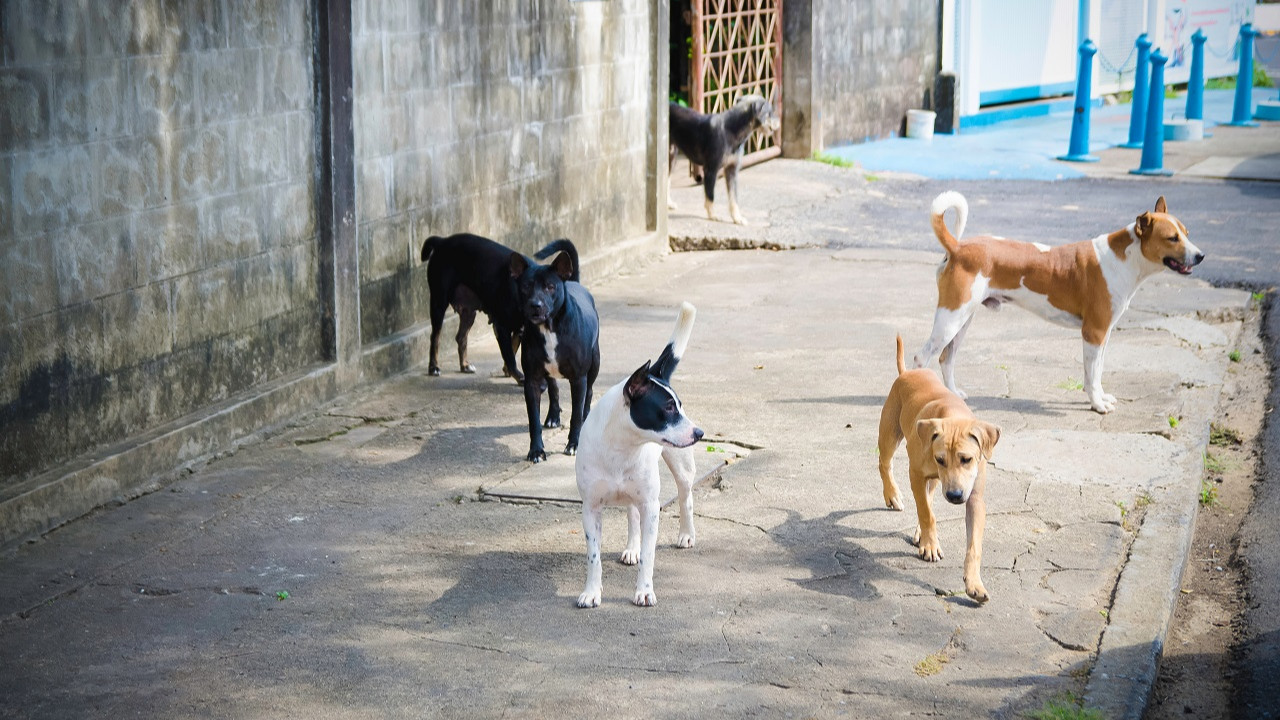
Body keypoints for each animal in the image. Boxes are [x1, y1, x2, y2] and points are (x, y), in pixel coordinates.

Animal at [509, 238, 599, 461]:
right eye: (526, 286)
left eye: (550, 287)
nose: (535, 305)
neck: (549, 328)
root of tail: (573, 281)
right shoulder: (532, 380)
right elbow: (533, 419)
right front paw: (536, 451)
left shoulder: (579, 379)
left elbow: (576, 415)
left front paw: (574, 444)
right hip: (548, 372)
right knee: (554, 388)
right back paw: (553, 416)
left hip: (594, 364)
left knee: (589, 393)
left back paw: (586, 416)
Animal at [576, 298, 706, 604]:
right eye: (668, 408)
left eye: (680, 406)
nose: (699, 433)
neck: (622, 447)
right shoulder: (591, 508)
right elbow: (593, 557)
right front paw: (592, 591)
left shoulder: (651, 507)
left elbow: (650, 554)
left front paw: (644, 590)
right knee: (632, 514)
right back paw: (632, 547)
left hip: (681, 469)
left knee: (686, 498)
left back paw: (686, 534)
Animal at [670, 94, 778, 224]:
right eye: (770, 112)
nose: (778, 122)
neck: (732, 129)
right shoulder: (711, 170)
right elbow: (710, 195)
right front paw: (713, 216)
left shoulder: (732, 170)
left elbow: (733, 198)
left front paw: (737, 218)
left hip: (671, 158)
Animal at [875, 335, 1003, 599]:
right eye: (940, 459)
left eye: (967, 459)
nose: (954, 495)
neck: (952, 415)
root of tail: (907, 373)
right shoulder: (916, 473)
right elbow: (926, 512)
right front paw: (930, 545)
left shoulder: (975, 497)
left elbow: (973, 543)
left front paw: (974, 583)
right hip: (890, 432)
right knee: (885, 463)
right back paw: (892, 495)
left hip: (933, 479)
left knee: (930, 494)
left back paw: (919, 532)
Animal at [916, 192, 1203, 415]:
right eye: (1172, 238)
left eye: (1187, 233)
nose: (1201, 256)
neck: (1123, 258)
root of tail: (958, 247)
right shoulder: (1094, 333)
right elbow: (1093, 374)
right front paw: (1097, 405)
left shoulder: (1103, 334)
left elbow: (1095, 372)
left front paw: (1099, 397)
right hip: (950, 319)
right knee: (923, 358)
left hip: (962, 319)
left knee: (946, 358)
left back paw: (953, 395)